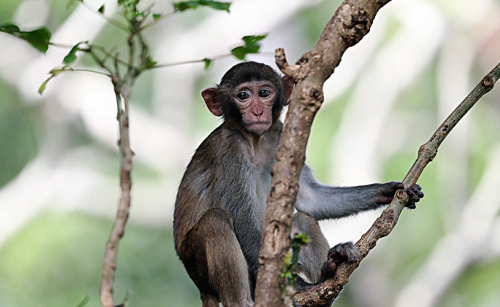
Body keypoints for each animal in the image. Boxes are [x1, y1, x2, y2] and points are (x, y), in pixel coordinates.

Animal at [174, 61, 424, 306]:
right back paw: (246, 301)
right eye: (242, 96)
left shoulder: (281, 137)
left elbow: (311, 200)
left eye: (264, 93)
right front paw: (296, 287)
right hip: (197, 266)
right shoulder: (229, 151)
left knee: (303, 220)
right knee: (215, 220)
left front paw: (390, 191)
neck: (255, 141)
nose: (257, 112)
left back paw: (328, 273)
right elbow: (240, 218)